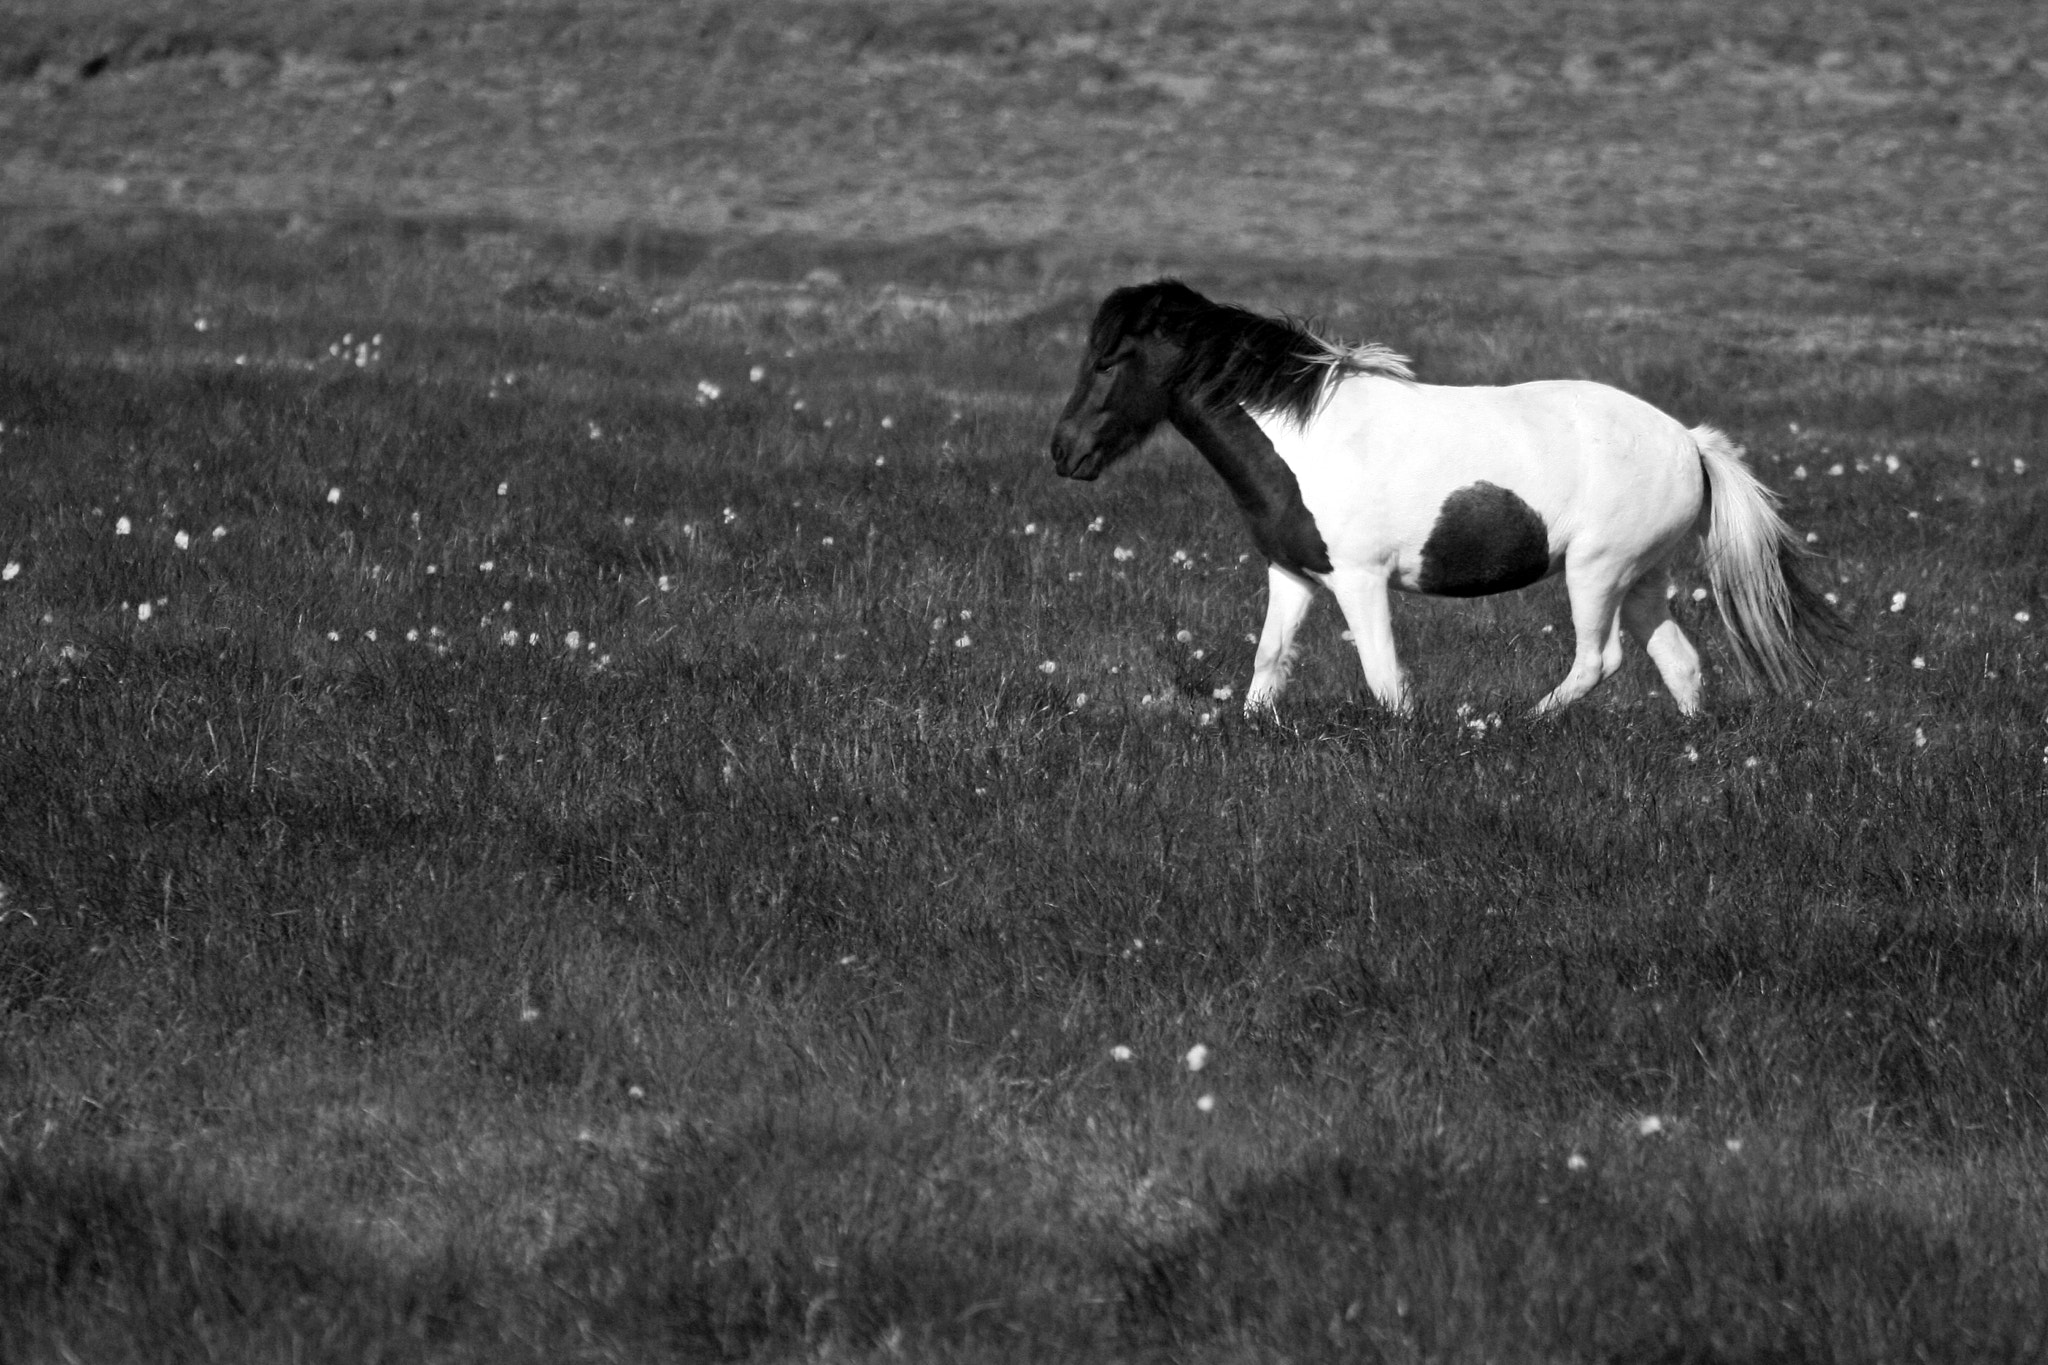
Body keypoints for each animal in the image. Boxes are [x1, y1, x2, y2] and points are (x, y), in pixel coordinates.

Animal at [1049, 279, 1843, 718]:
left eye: (1111, 359)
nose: (1063, 452)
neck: (1306, 439)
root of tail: (1689, 441)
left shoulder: (1360, 581)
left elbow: (1384, 680)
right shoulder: (1294, 575)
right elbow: (1266, 669)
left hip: (1597, 572)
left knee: (1601, 660)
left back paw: (1524, 722)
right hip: (1641, 576)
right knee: (1679, 662)